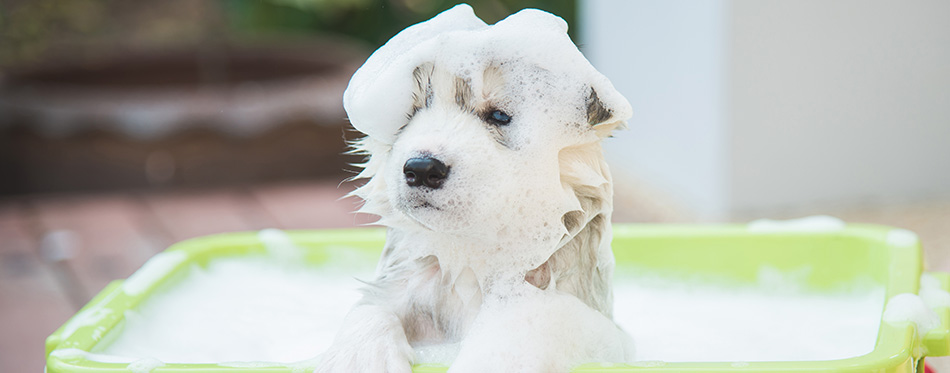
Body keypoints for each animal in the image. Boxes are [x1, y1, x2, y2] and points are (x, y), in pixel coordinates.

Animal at [324, 4, 636, 370]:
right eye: (410, 115)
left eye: (499, 116)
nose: (421, 168)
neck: (473, 251)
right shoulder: (403, 283)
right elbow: (370, 306)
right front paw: (358, 358)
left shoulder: (580, 311)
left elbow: (531, 324)